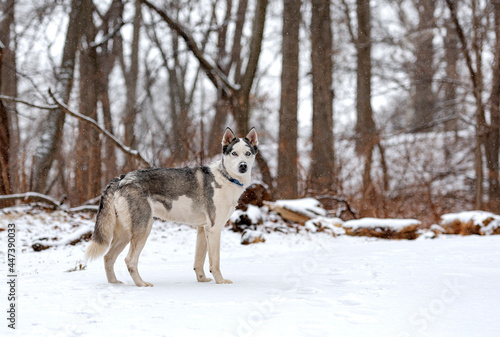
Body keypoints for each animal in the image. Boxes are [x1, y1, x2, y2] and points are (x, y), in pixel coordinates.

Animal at [85, 127, 258, 284]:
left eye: (248, 153)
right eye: (234, 153)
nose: (243, 166)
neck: (226, 177)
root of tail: (121, 178)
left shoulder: (202, 229)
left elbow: (199, 261)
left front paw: (202, 280)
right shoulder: (214, 229)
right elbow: (215, 262)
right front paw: (221, 282)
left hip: (126, 233)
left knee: (108, 257)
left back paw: (114, 283)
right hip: (143, 229)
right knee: (129, 260)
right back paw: (141, 284)